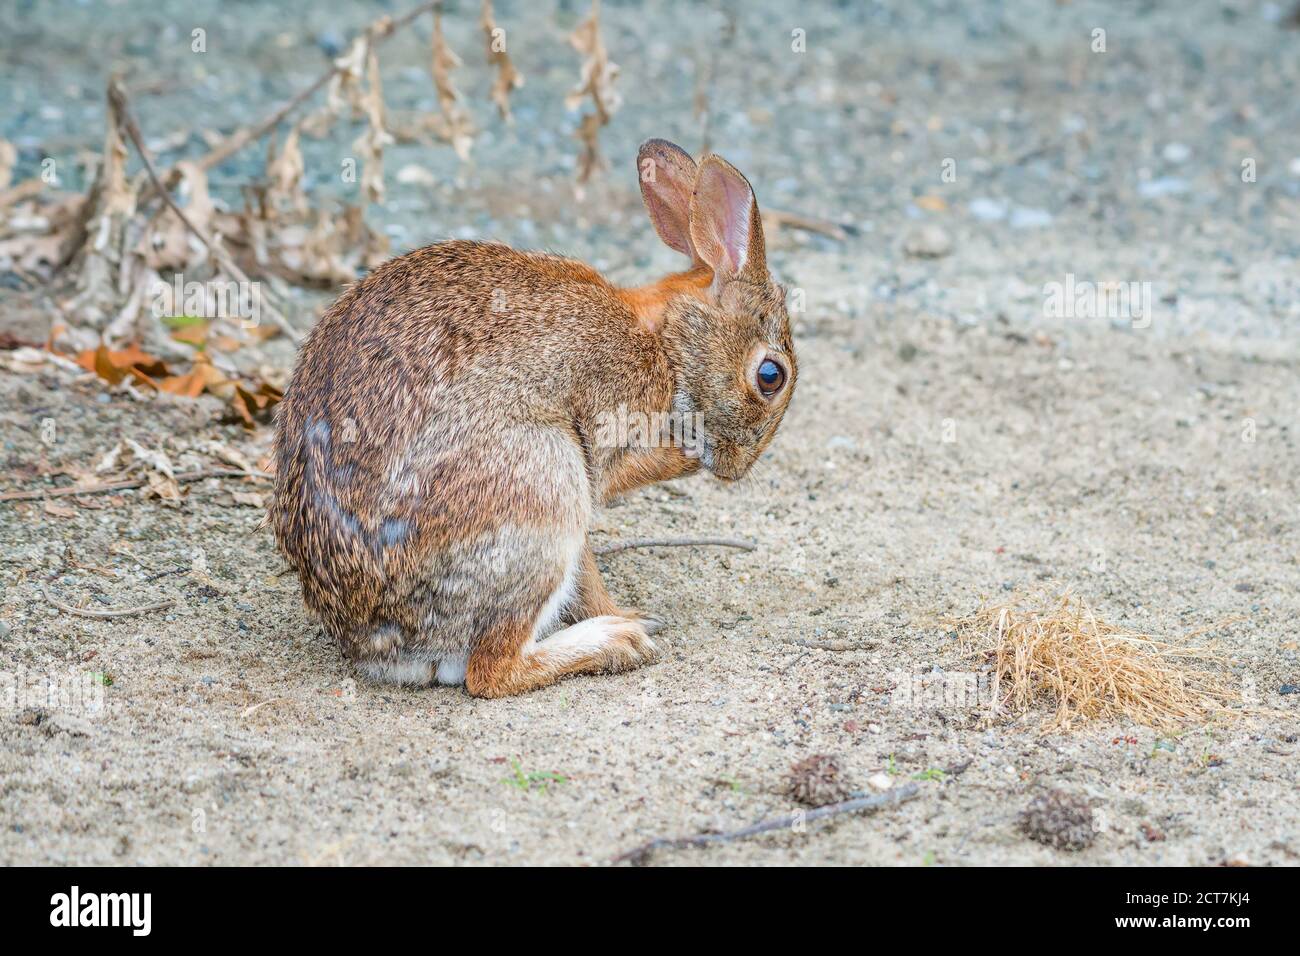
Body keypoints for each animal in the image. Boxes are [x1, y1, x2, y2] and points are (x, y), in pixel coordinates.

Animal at [270, 138, 795, 697]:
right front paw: (625, 616)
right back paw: (616, 639)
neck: (668, 343)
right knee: (492, 669)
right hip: (544, 482)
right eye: (770, 375)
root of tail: (379, 644)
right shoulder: (601, 437)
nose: (738, 468)